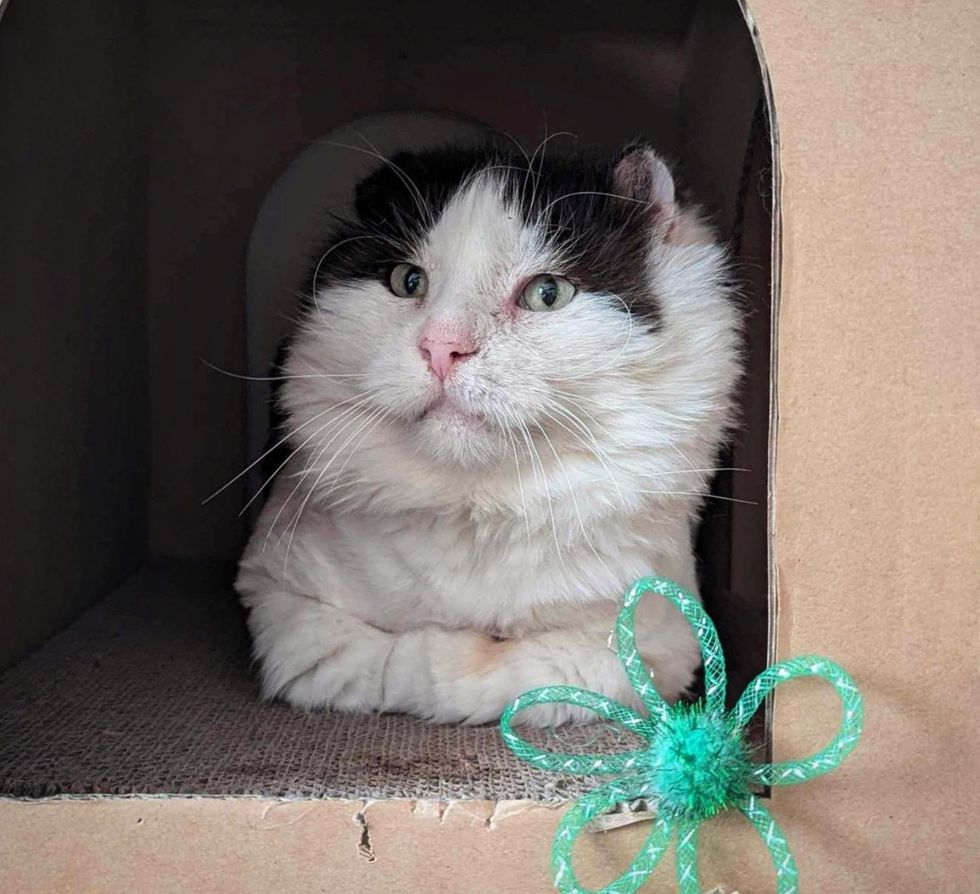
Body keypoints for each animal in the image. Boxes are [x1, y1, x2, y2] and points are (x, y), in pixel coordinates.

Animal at [237, 142, 740, 728]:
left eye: (547, 293)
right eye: (407, 281)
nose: (441, 347)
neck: (477, 510)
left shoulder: (662, 641)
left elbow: (499, 675)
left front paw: (448, 651)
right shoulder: (277, 597)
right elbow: (372, 661)